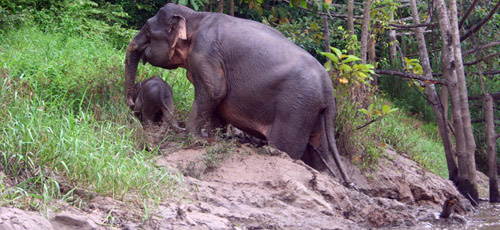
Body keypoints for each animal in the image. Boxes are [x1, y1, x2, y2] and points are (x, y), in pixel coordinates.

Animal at [125, 3, 352, 186]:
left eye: (147, 29)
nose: (130, 102)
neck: (196, 17)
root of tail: (328, 88)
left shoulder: (205, 54)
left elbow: (214, 91)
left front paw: (196, 140)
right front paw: (215, 138)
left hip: (295, 108)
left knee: (284, 147)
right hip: (312, 111)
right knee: (317, 153)